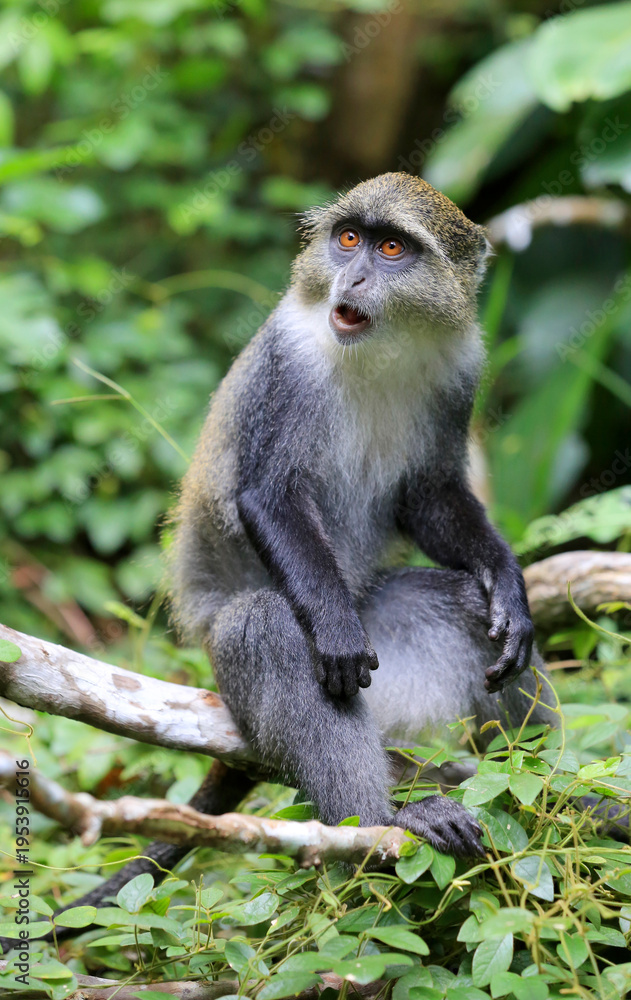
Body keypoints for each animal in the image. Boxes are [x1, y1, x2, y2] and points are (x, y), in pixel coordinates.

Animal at [1, 173, 556, 954]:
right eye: (347, 240)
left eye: (391, 248)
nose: (351, 279)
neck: (382, 346)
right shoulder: (285, 367)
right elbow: (270, 496)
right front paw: (335, 633)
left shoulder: (459, 368)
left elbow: (431, 496)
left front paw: (509, 587)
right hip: (238, 652)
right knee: (262, 625)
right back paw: (380, 820)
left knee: (464, 607)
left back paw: (540, 783)